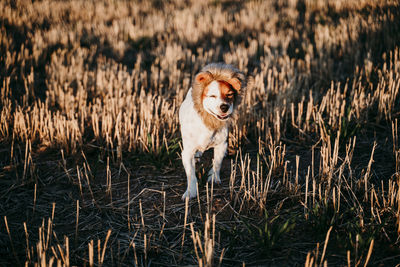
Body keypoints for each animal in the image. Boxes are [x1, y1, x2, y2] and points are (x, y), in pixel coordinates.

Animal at [180, 63, 245, 200]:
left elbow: (217, 163)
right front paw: (190, 192)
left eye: (230, 94)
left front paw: (214, 177)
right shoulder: (187, 152)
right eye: (212, 96)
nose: (224, 107)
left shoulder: (222, 145)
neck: (209, 122)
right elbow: (191, 174)